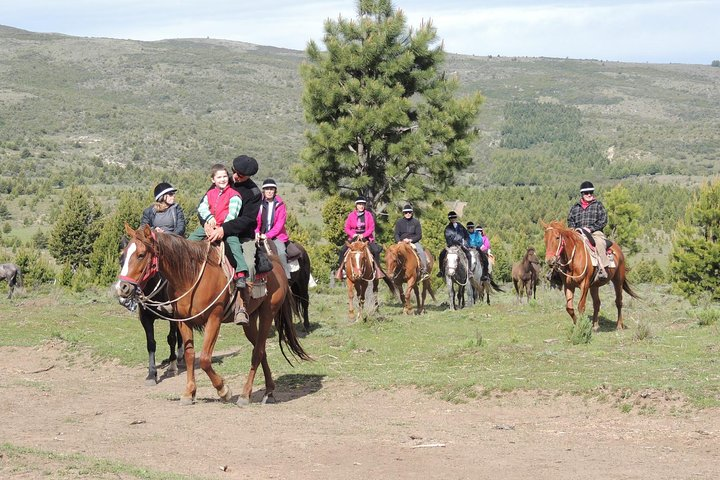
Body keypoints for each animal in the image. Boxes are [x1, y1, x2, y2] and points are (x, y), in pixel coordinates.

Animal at [115, 225, 310, 404]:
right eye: (122, 257)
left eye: (141, 255)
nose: (122, 288)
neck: (191, 276)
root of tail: (277, 263)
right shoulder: (182, 321)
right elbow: (190, 356)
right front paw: (189, 393)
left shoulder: (214, 319)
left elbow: (205, 359)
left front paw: (223, 390)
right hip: (250, 320)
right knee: (261, 350)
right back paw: (268, 391)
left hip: (268, 313)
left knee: (258, 351)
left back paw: (245, 395)